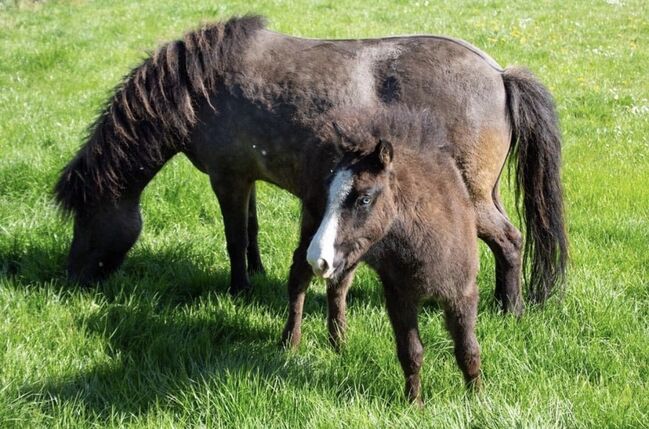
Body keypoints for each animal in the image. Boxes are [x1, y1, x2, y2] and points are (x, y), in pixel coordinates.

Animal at [54, 16, 566, 322]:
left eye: (86, 215)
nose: (71, 279)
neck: (198, 87)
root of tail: (499, 74)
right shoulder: (247, 178)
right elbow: (252, 230)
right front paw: (257, 274)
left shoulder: (227, 179)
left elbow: (234, 237)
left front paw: (238, 289)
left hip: (473, 201)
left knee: (510, 241)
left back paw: (511, 309)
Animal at [303, 108, 481, 404]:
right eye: (328, 195)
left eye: (364, 199)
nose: (318, 260)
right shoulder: (399, 296)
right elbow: (411, 353)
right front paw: (414, 404)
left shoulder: (462, 293)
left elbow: (468, 351)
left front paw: (477, 399)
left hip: (349, 257)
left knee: (337, 288)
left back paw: (338, 343)